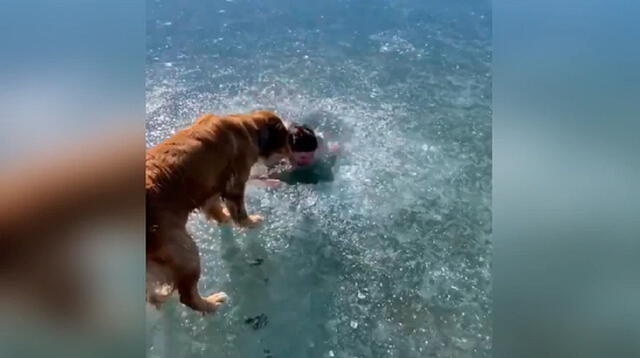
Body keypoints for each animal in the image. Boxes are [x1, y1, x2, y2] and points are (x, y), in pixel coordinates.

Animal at [146, 109, 288, 314]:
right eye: (285, 138)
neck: (246, 126)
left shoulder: (212, 189)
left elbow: (215, 208)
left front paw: (224, 219)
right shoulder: (235, 183)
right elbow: (239, 212)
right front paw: (251, 221)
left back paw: (160, 298)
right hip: (185, 249)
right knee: (187, 296)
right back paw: (213, 303)